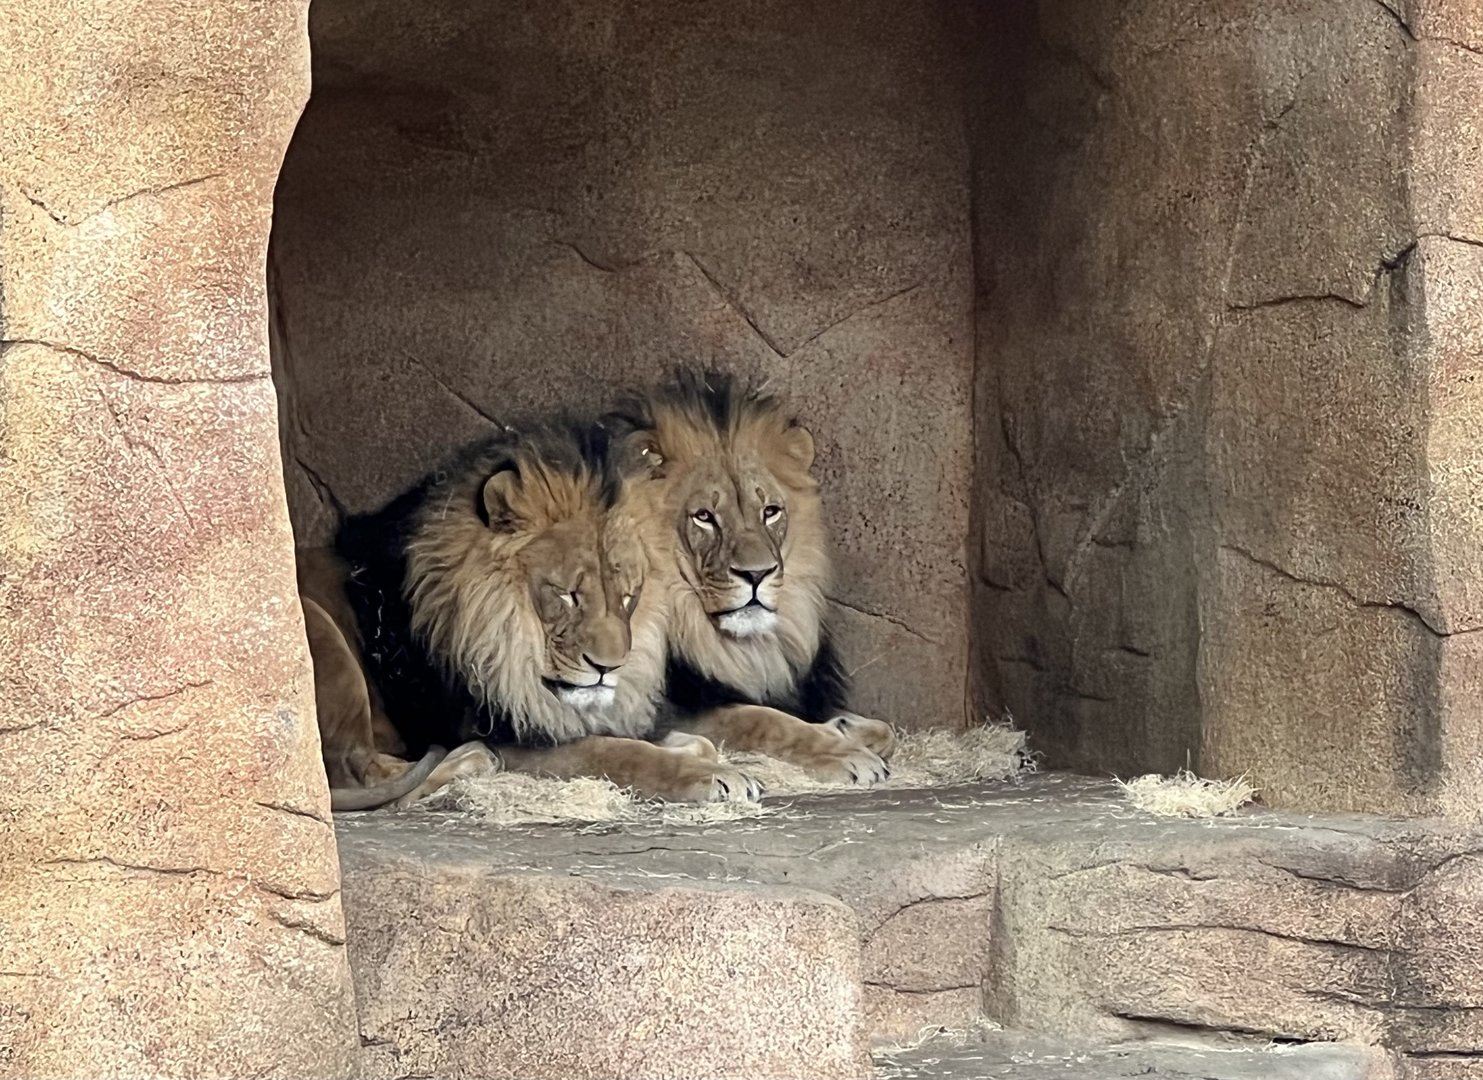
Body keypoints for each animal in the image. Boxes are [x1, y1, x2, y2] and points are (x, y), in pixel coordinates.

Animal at [301, 420, 760, 809]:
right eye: (567, 595)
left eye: (628, 596)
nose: (608, 668)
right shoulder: (513, 738)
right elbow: (619, 753)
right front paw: (717, 775)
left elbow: (684, 739)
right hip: (318, 623)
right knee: (360, 776)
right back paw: (470, 759)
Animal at [606, 370, 898, 786]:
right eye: (704, 517)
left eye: (770, 511)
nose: (757, 573)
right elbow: (765, 719)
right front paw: (847, 752)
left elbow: (886, 729)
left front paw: (846, 727)